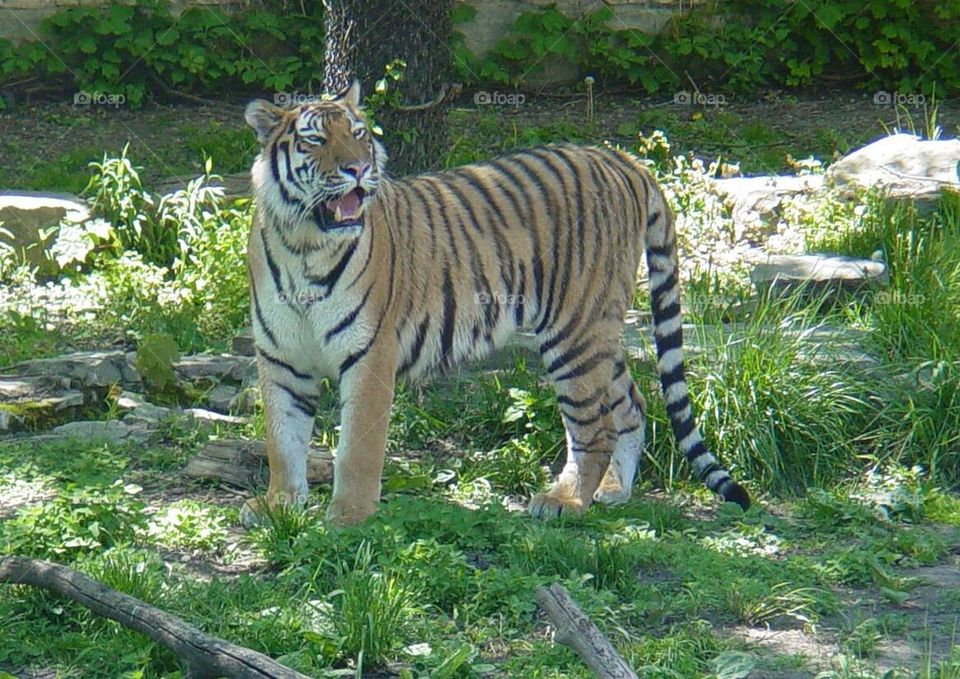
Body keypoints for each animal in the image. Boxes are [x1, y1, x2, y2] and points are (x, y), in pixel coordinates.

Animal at [240, 81, 749, 529]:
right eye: (315, 140)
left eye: (360, 135)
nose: (359, 170)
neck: (304, 245)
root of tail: (621, 158)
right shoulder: (281, 358)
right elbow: (282, 441)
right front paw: (278, 506)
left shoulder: (370, 356)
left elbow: (356, 451)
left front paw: (348, 519)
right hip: (596, 328)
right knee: (632, 404)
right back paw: (612, 492)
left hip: (573, 331)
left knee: (593, 426)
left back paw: (565, 501)